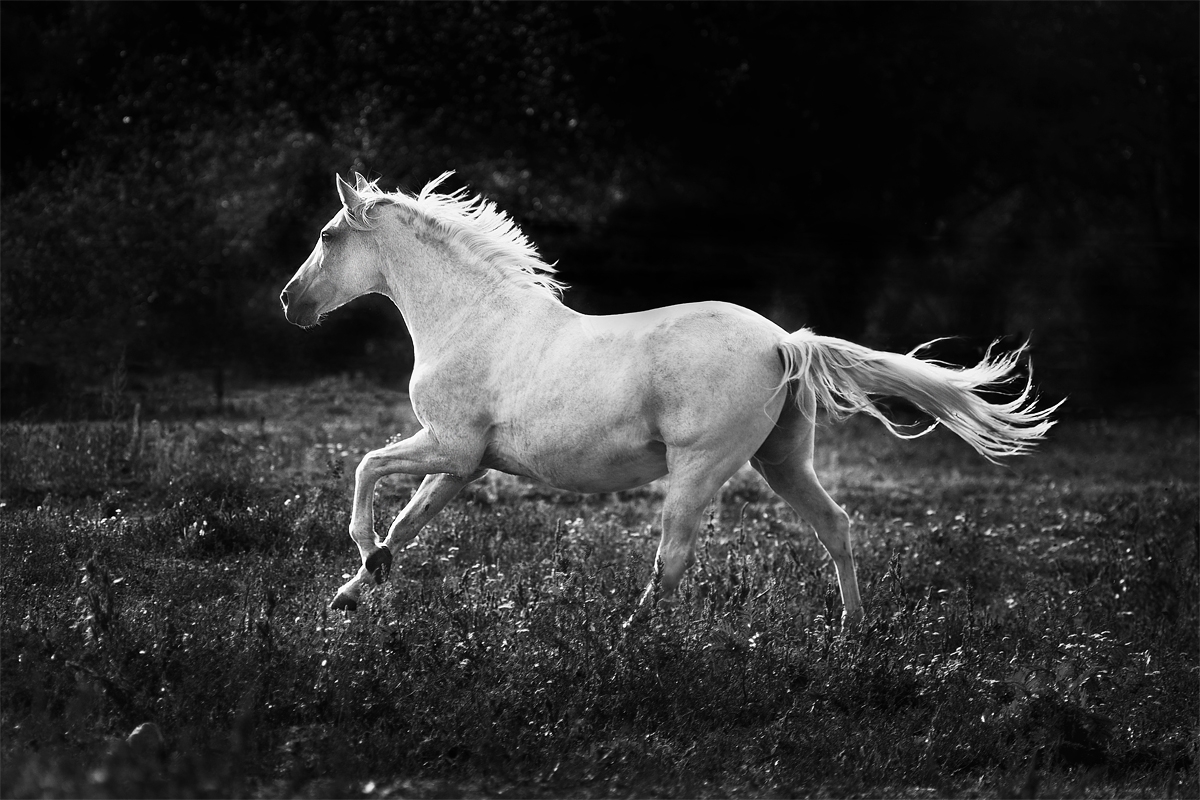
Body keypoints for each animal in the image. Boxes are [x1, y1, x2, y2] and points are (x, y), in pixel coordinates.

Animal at [280, 172, 1060, 624]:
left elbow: (367, 471)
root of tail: (783, 340)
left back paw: (629, 639)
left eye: (326, 235)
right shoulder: (464, 465)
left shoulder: (448, 445)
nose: (290, 302)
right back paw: (851, 634)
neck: (474, 318)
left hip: (699, 468)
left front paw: (362, 562)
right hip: (783, 462)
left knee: (674, 558)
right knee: (835, 527)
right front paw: (356, 590)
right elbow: (406, 524)